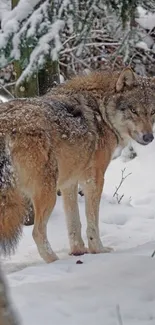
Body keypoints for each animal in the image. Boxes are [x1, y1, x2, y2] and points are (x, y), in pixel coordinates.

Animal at [0, 67, 155, 262]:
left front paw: (78, 251)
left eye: (152, 112)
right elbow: (92, 222)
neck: (102, 111)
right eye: (134, 111)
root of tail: (6, 124)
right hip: (47, 192)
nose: (149, 137)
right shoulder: (94, 179)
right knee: (37, 232)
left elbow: (74, 223)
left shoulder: (69, 183)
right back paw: (54, 261)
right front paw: (98, 250)